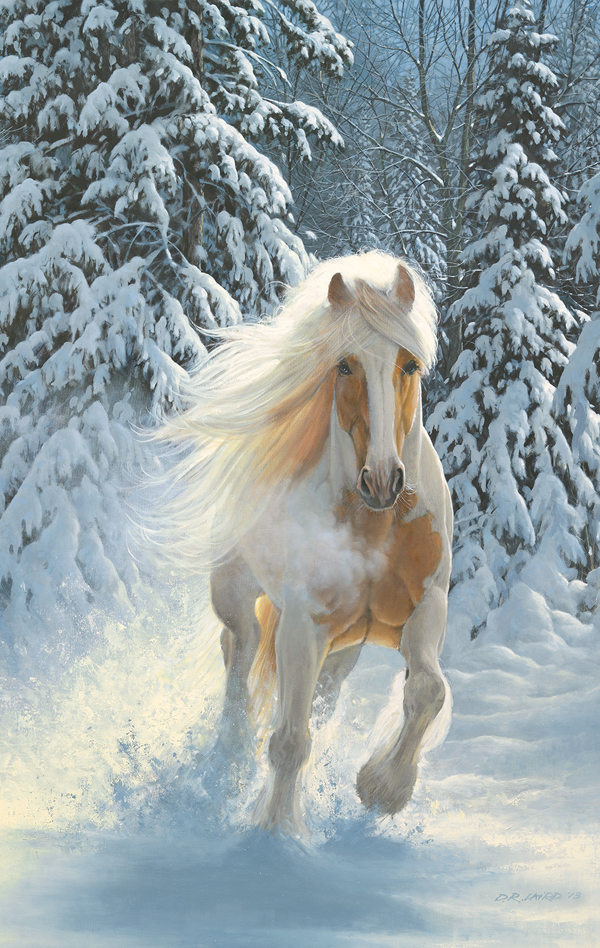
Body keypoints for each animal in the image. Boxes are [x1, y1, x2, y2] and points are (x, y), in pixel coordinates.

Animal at [155, 251, 453, 833]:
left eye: (409, 365)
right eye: (345, 365)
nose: (382, 481)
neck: (375, 529)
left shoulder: (426, 605)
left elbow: (427, 690)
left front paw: (382, 788)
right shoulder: (302, 621)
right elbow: (289, 741)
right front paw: (275, 834)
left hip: (343, 646)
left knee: (315, 691)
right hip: (238, 593)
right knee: (239, 648)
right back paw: (230, 758)